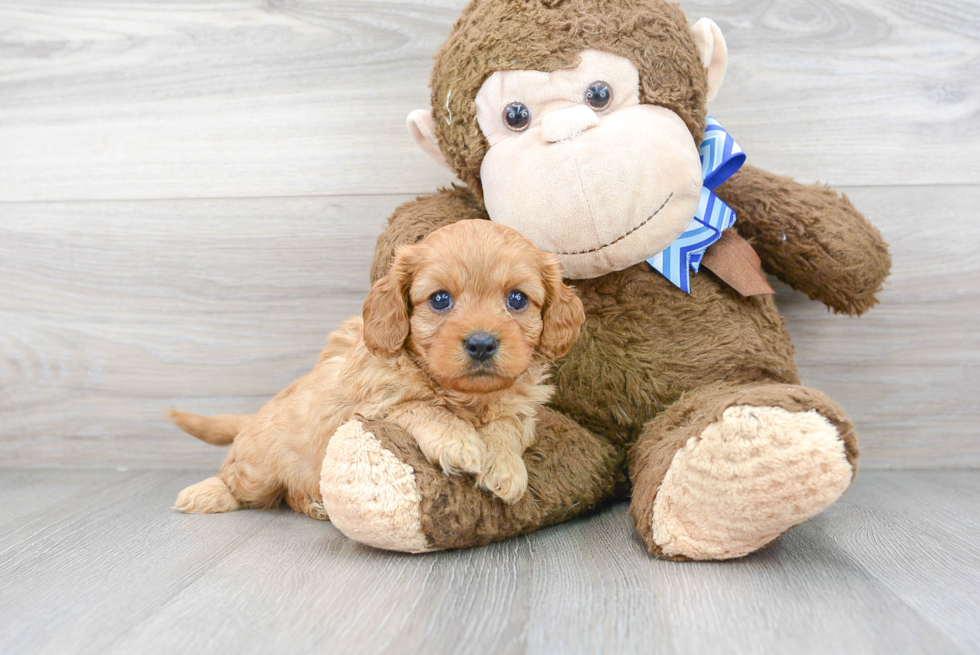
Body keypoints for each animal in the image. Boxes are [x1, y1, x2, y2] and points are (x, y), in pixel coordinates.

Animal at [170, 218, 580, 516]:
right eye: (440, 299)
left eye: (517, 299)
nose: (481, 344)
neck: (464, 396)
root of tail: (252, 419)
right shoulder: (372, 404)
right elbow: (421, 406)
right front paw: (459, 442)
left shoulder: (521, 411)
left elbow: (506, 426)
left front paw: (505, 467)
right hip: (260, 466)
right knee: (238, 479)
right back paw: (206, 493)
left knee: (289, 495)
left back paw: (314, 503)